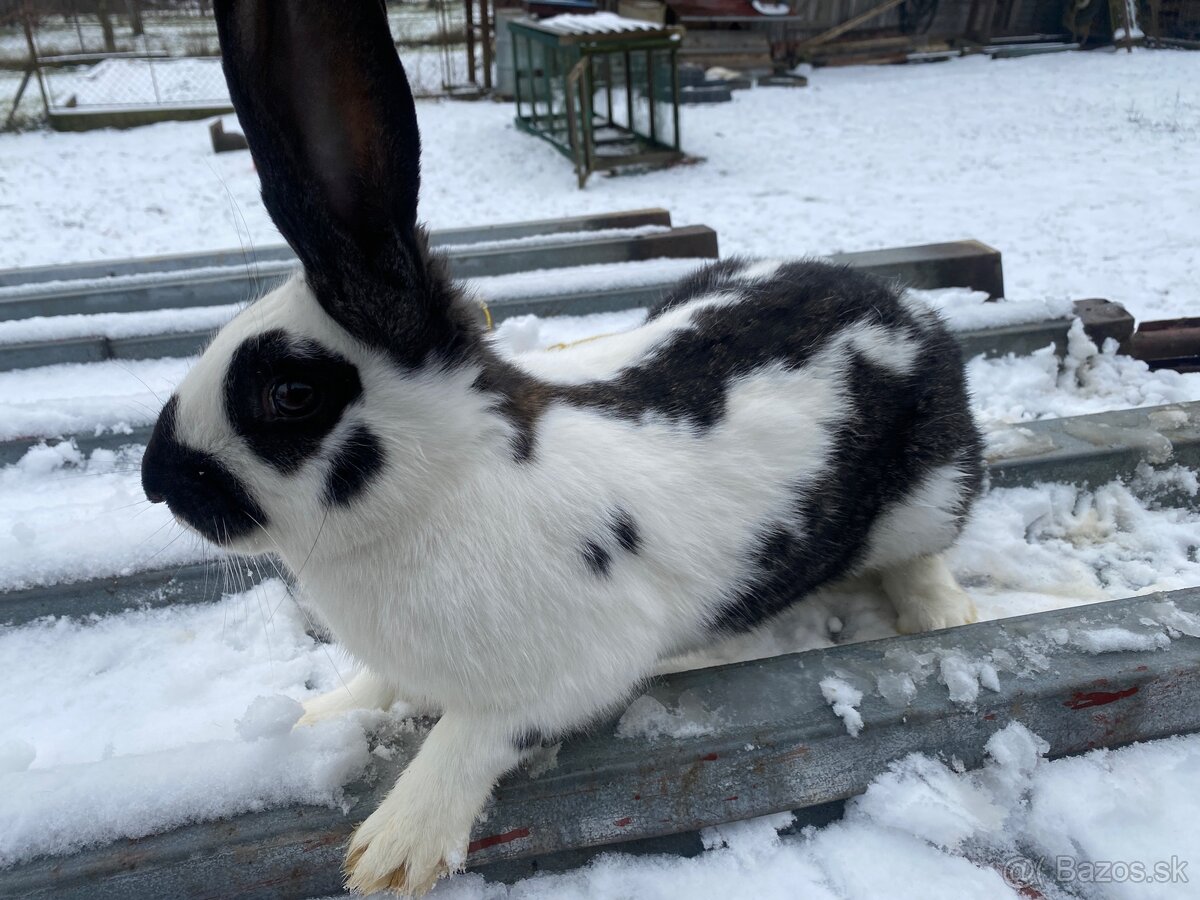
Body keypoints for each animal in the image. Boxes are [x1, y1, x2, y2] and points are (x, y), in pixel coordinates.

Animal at [140, 0, 984, 897]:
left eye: (291, 395)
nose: (156, 480)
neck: (444, 488)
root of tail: (904, 307)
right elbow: (377, 685)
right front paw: (312, 716)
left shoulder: (575, 667)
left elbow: (475, 735)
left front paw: (394, 849)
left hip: (930, 489)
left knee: (924, 553)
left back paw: (943, 615)